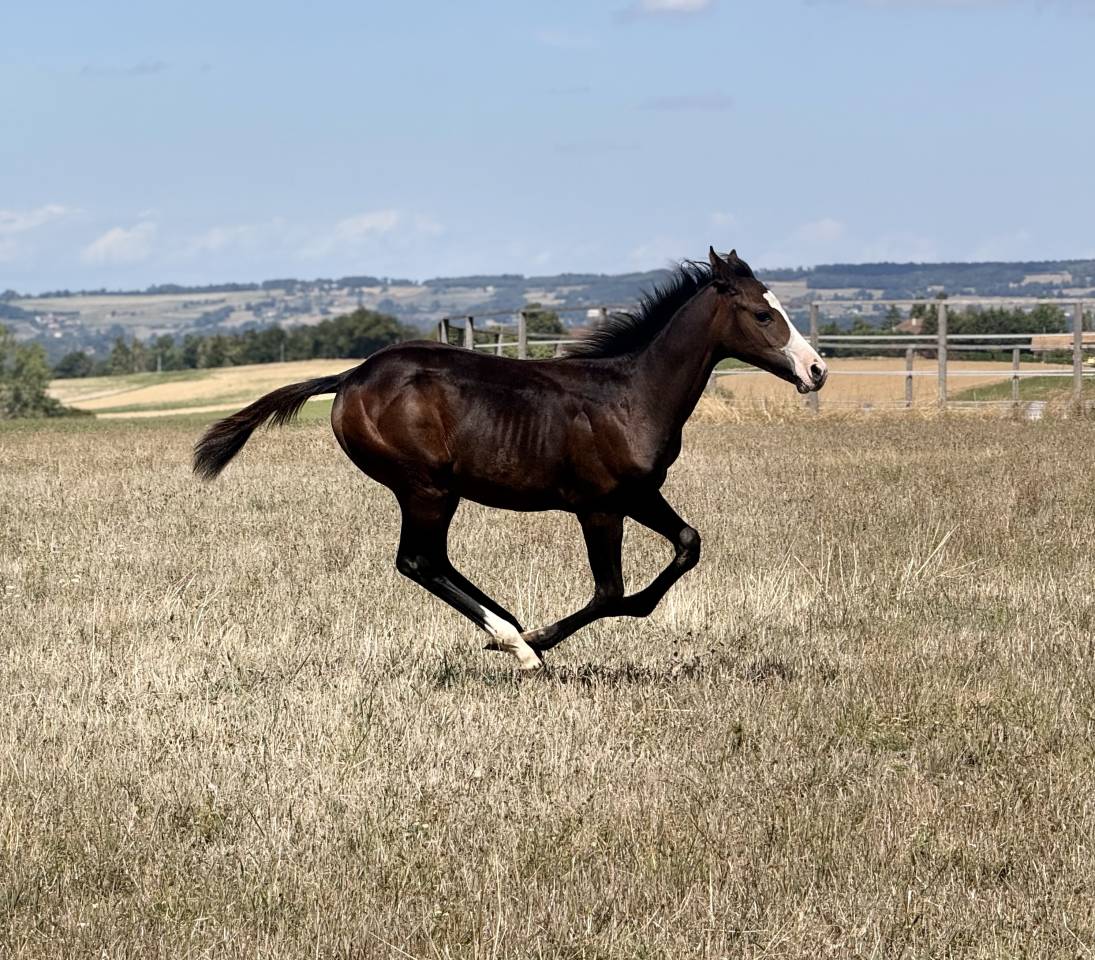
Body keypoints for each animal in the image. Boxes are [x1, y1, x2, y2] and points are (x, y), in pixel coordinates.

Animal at [193, 248, 828, 671]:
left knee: (432, 561)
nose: (817, 369)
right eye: (763, 315)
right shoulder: (600, 506)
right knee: (418, 561)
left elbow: (687, 545)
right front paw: (543, 639)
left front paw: (540, 633)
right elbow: (610, 592)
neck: (630, 395)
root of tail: (350, 377)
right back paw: (518, 643)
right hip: (425, 487)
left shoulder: (638, 493)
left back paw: (509, 630)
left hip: (435, 492)